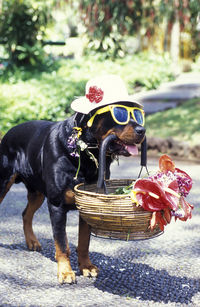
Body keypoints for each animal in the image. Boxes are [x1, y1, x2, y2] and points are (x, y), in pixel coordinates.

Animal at [0, 74, 145, 284]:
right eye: (119, 113)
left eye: (139, 115)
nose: (142, 130)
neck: (85, 152)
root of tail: (8, 133)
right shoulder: (57, 205)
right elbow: (62, 244)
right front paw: (66, 272)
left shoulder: (88, 203)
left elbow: (84, 241)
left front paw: (86, 267)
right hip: (4, 182)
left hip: (38, 192)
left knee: (26, 213)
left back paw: (32, 241)